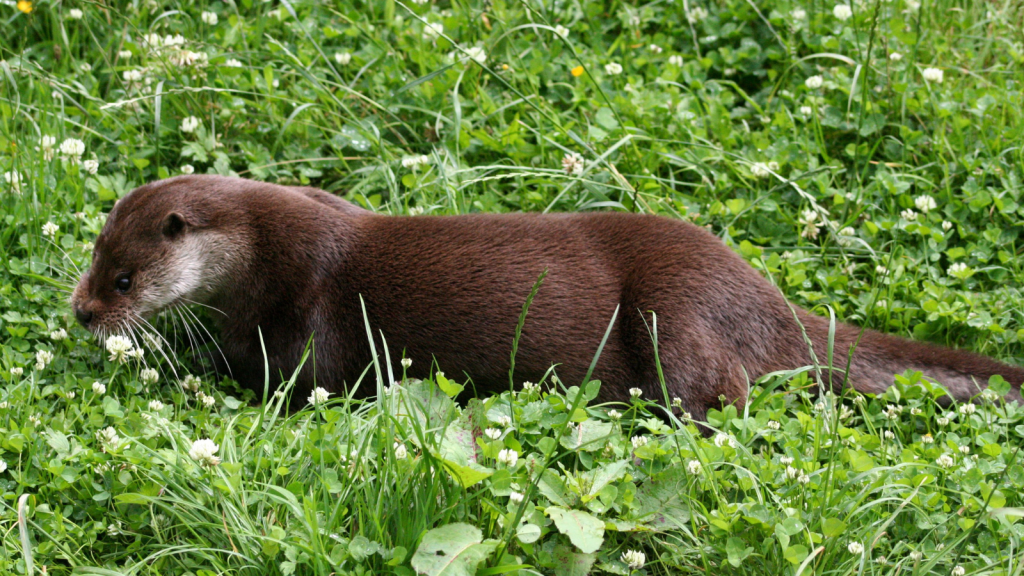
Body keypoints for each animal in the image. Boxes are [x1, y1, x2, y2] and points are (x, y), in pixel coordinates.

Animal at [68, 172, 1019, 414]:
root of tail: (777, 305)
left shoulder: (315, 311)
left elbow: (303, 384)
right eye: (94, 253)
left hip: (677, 309)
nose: (83, 311)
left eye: (125, 278)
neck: (270, 256)